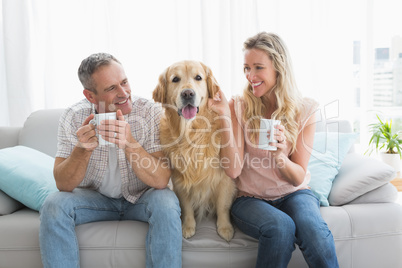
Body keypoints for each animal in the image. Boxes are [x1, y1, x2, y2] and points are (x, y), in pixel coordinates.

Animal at [152, 60, 237, 241]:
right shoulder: (179, 179)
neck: (191, 133)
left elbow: (222, 205)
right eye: (175, 79)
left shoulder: (224, 178)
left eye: (198, 77)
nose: (187, 93)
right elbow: (186, 205)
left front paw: (225, 227)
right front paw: (188, 226)